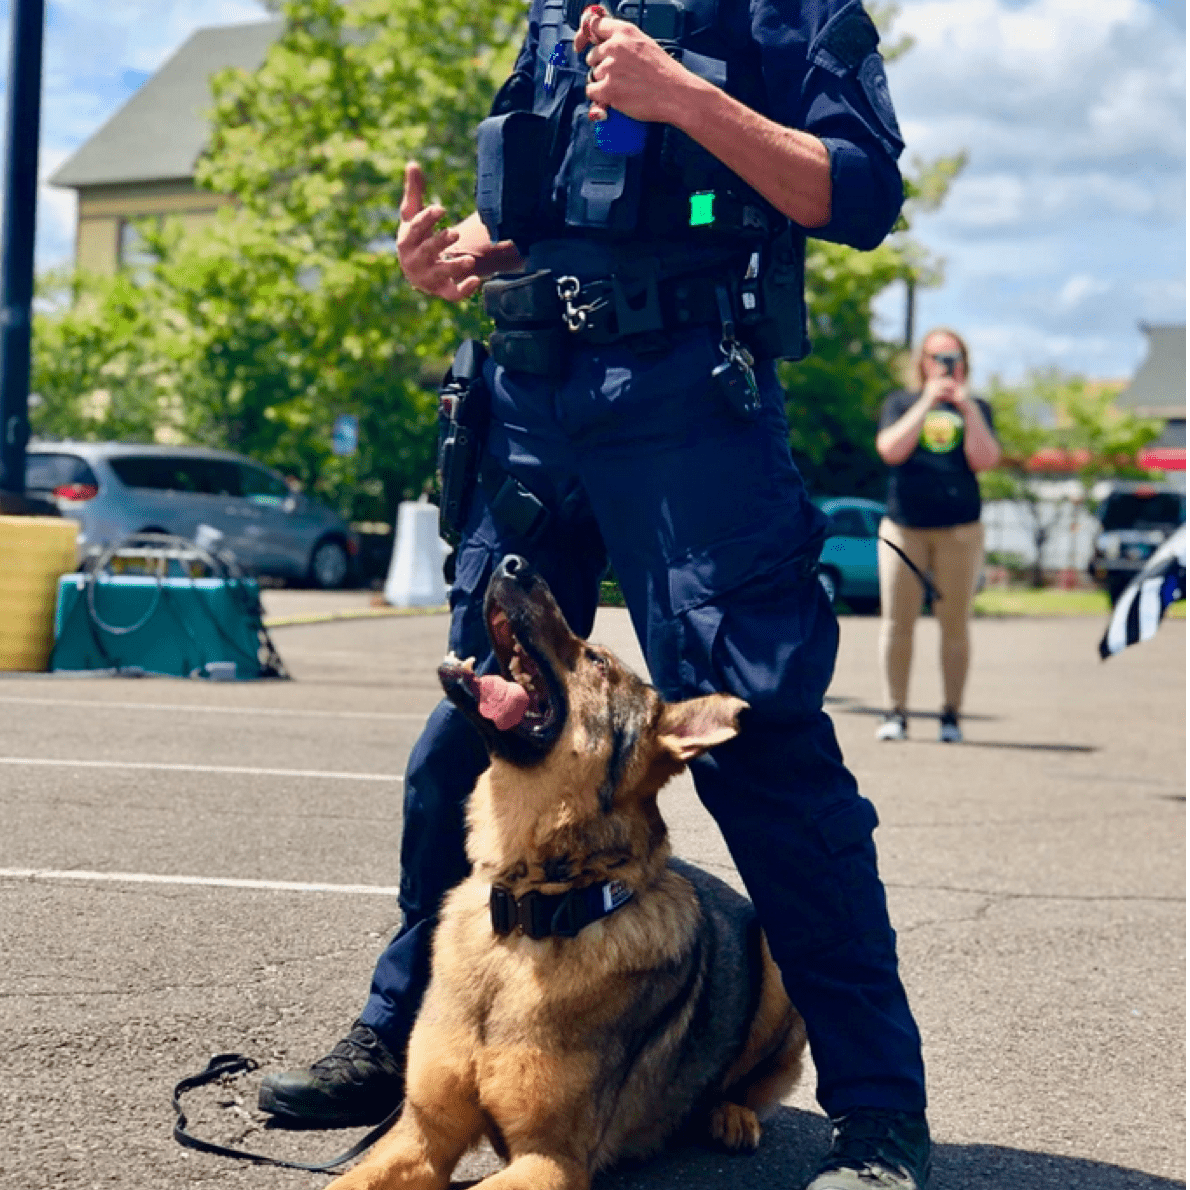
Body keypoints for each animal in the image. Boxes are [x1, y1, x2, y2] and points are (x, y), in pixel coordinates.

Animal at [330, 556, 804, 1190]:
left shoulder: (549, 1161)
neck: (528, 909)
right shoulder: (423, 1134)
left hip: (778, 964)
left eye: (598, 661)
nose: (513, 562)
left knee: (753, 1083)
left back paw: (731, 1113)